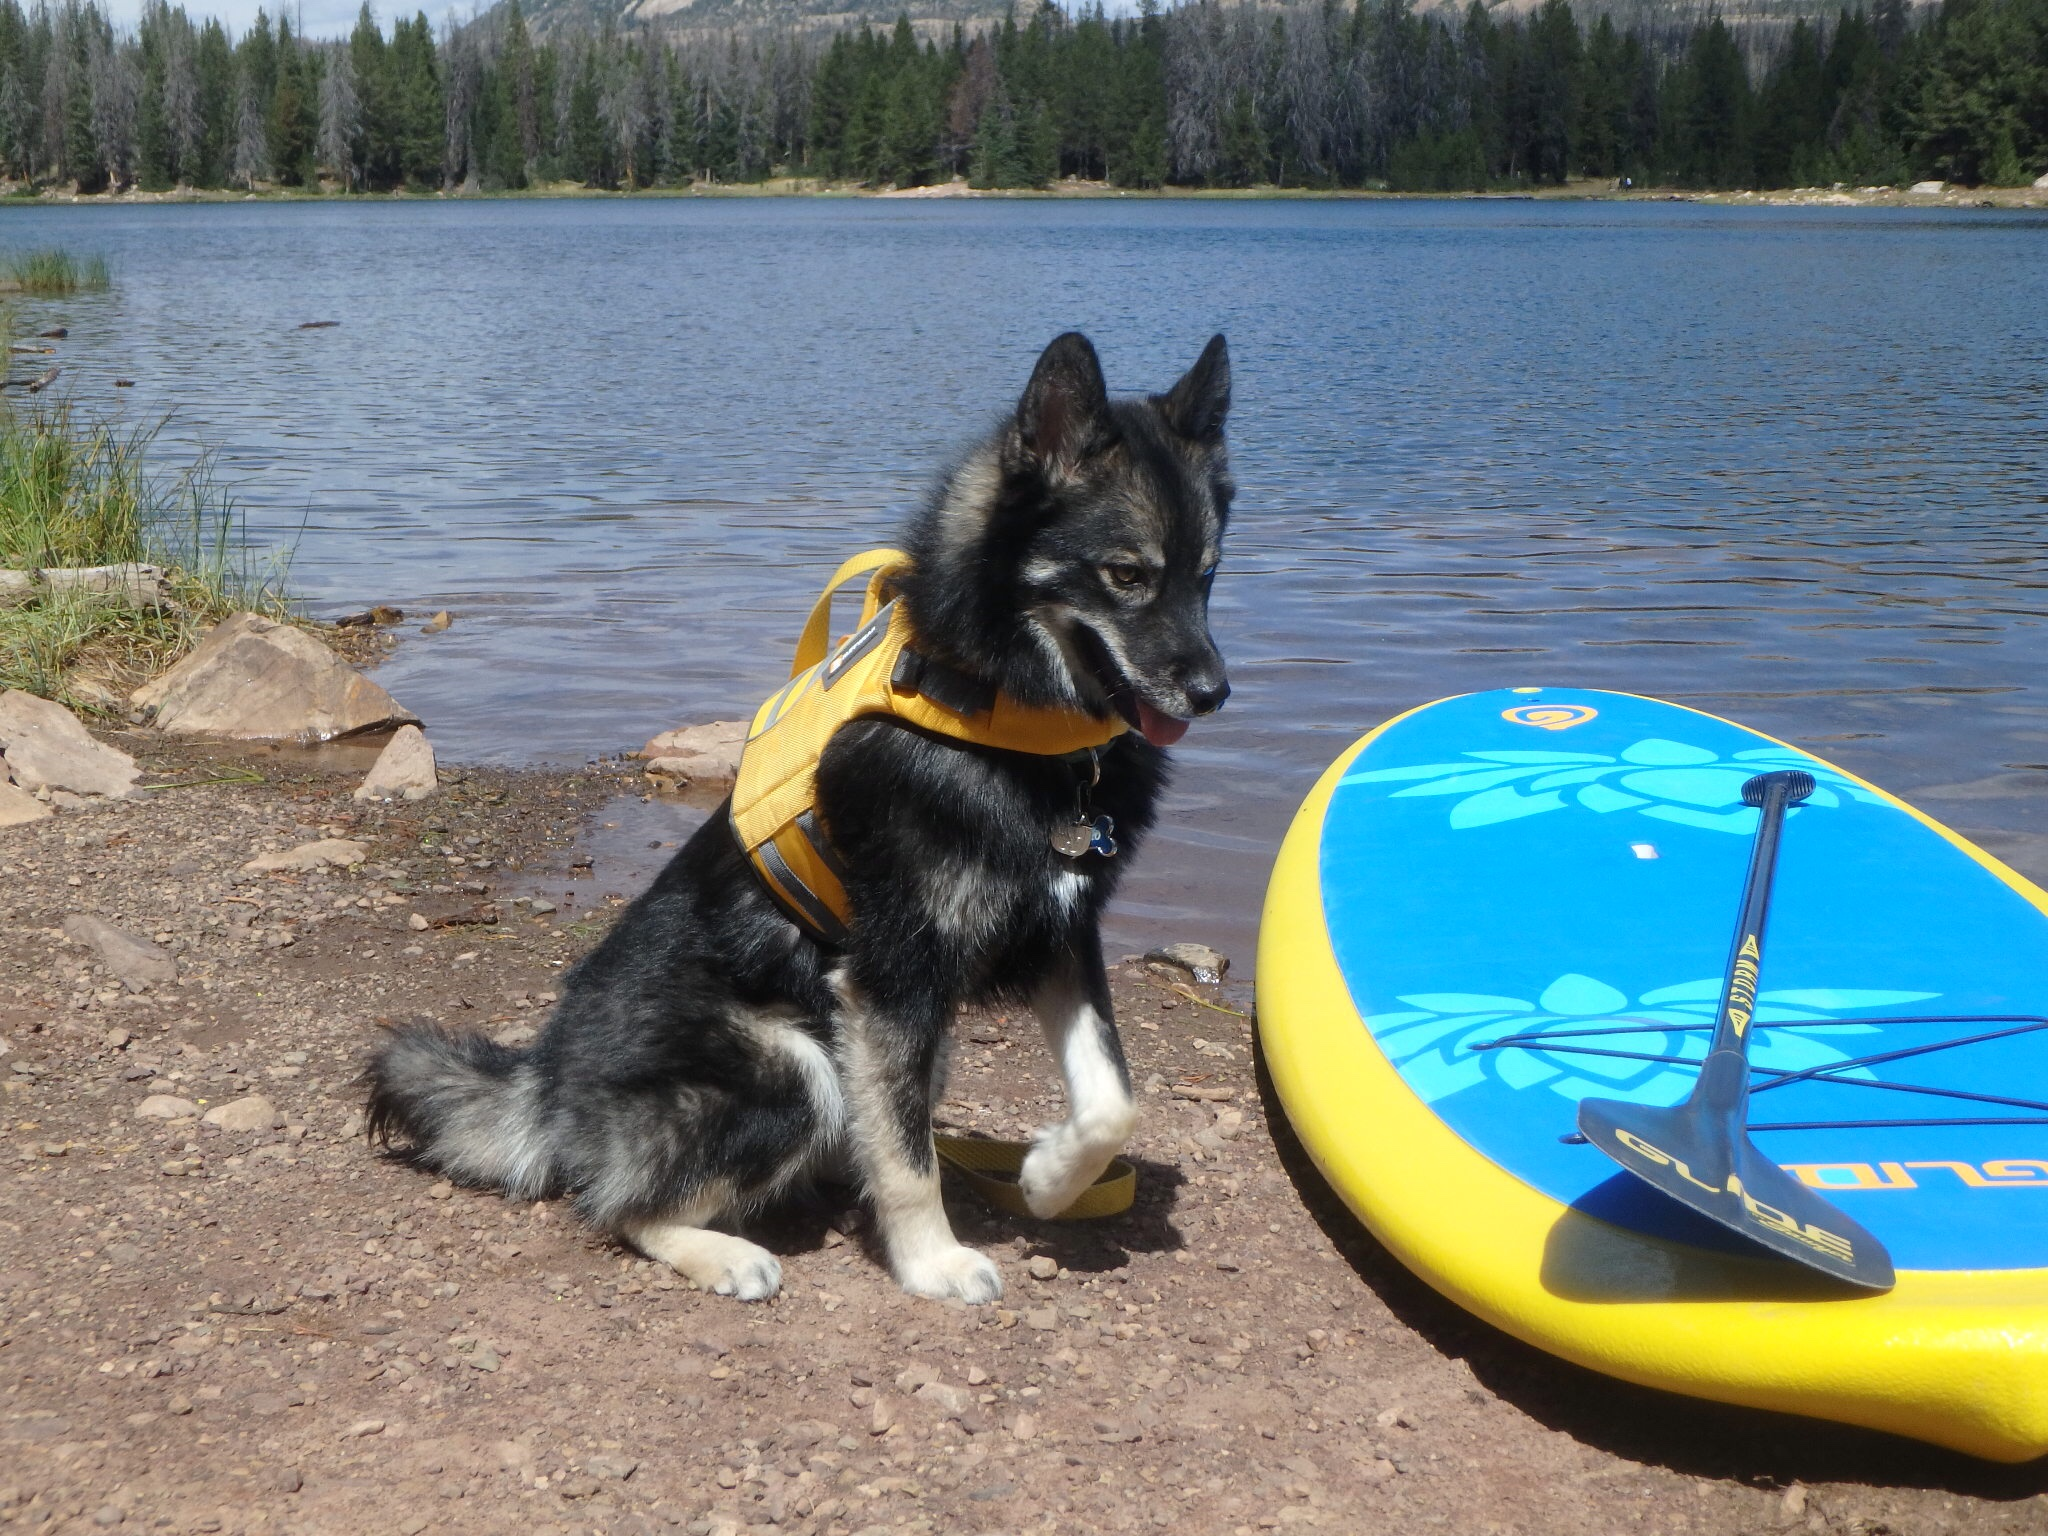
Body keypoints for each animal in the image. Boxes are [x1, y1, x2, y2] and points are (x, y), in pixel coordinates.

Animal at [366, 331, 1228, 1302]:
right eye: (1126, 574)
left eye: (1207, 573)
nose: (1215, 692)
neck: (1002, 718)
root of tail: (545, 1090)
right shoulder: (893, 976)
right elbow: (909, 1160)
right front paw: (930, 1261)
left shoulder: (1058, 937)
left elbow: (1112, 1099)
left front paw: (1046, 1177)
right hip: (794, 1062)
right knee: (623, 1206)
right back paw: (728, 1250)